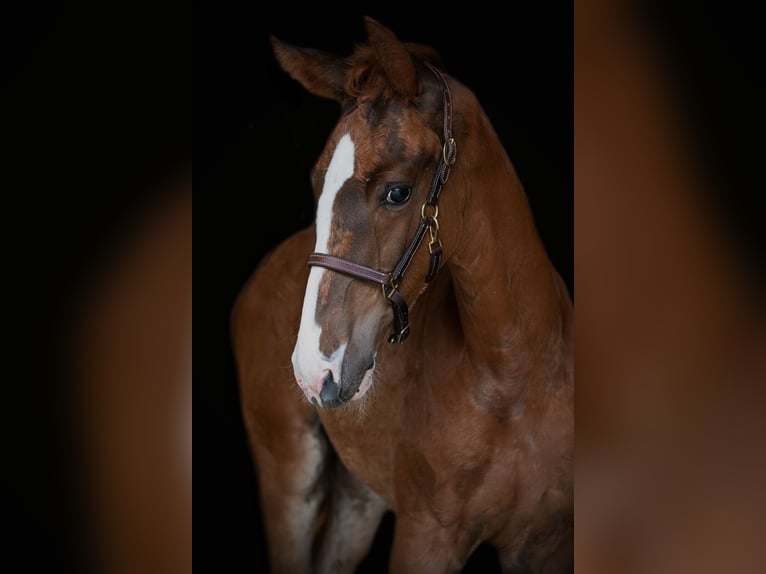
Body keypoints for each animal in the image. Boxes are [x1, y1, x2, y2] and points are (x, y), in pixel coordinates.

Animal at [232, 17, 573, 574]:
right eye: (317, 183)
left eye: (397, 192)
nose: (314, 369)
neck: (515, 380)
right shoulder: (424, 538)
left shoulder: (546, 545)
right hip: (289, 479)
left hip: (358, 496)